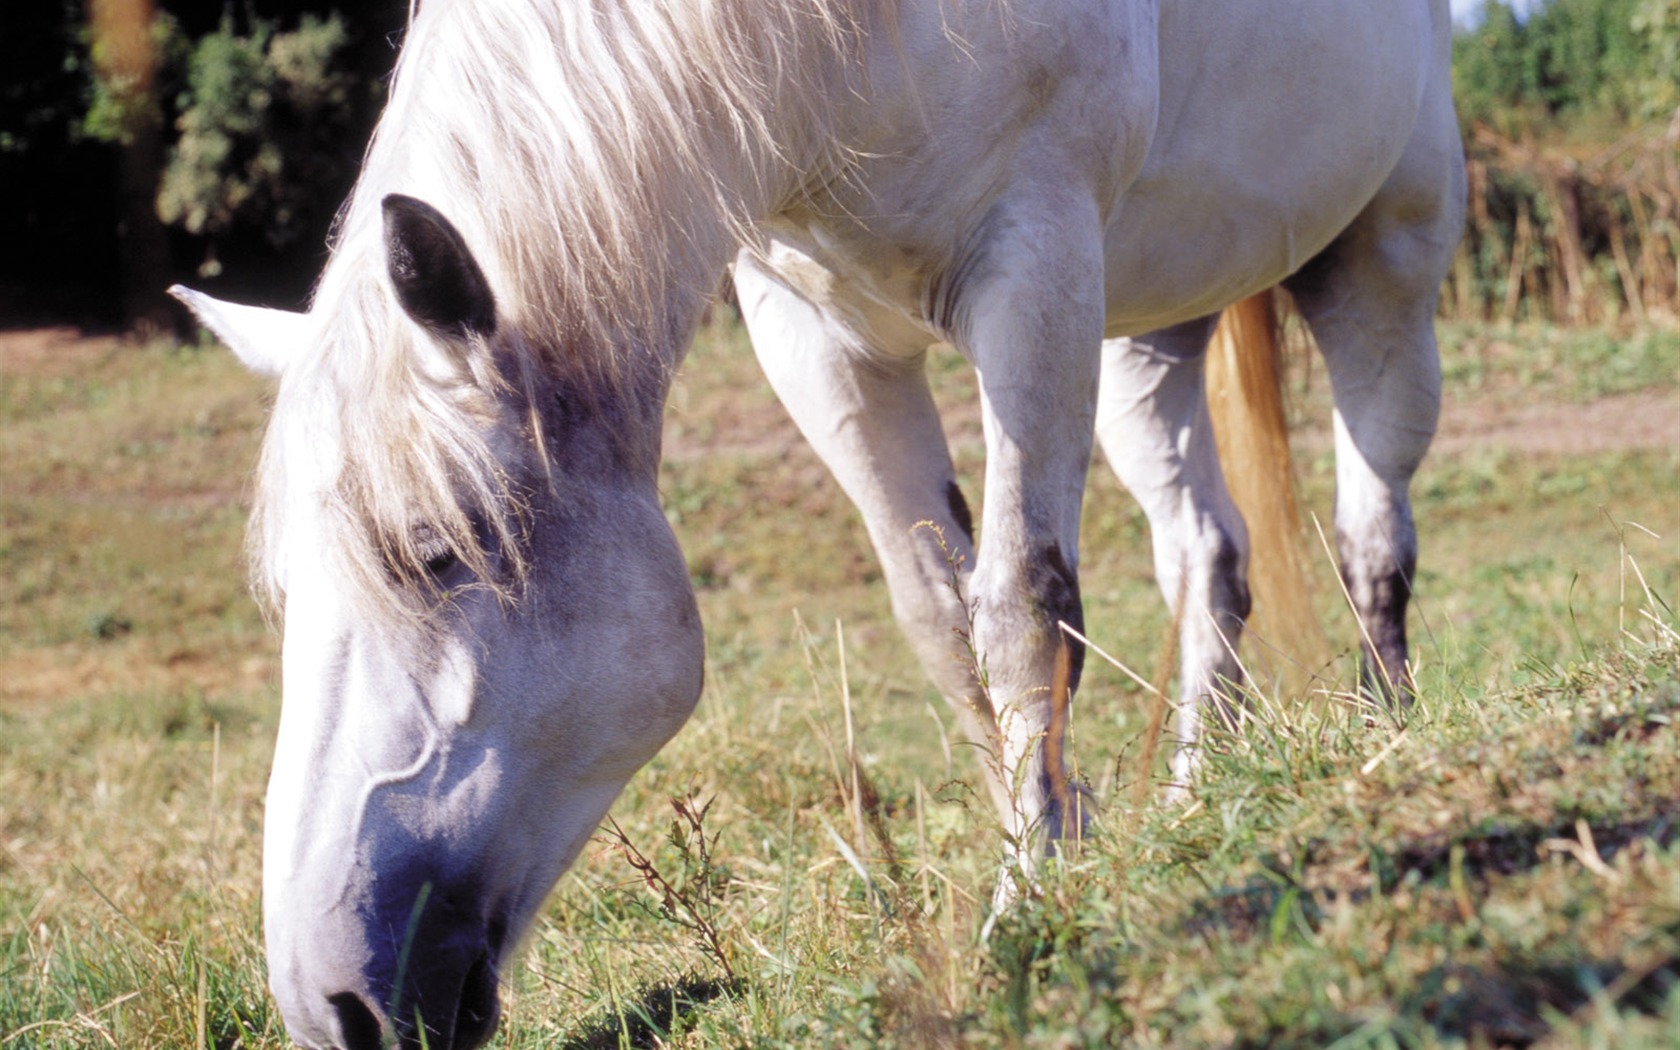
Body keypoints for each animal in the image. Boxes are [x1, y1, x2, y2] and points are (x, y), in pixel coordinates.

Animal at [167, 0, 1458, 1041]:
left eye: (436, 556)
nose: (335, 1006)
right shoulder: (820, 337)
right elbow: (944, 625)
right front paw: (1053, 843)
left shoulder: (1035, 260)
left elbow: (1023, 608)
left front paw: (1030, 906)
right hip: (1153, 329)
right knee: (1210, 556)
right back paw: (1196, 789)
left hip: (1383, 252)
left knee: (1372, 527)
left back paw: (1390, 731)